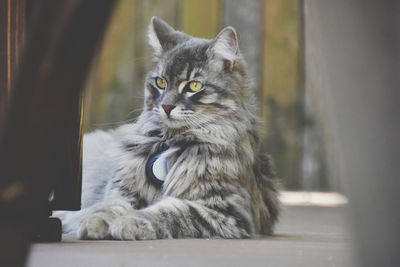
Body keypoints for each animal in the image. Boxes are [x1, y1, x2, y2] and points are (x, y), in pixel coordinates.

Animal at [55, 15, 282, 240]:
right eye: (161, 82)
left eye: (194, 86)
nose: (166, 106)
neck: (173, 139)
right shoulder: (123, 189)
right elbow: (109, 206)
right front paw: (94, 221)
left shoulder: (226, 210)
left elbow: (168, 211)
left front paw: (130, 222)